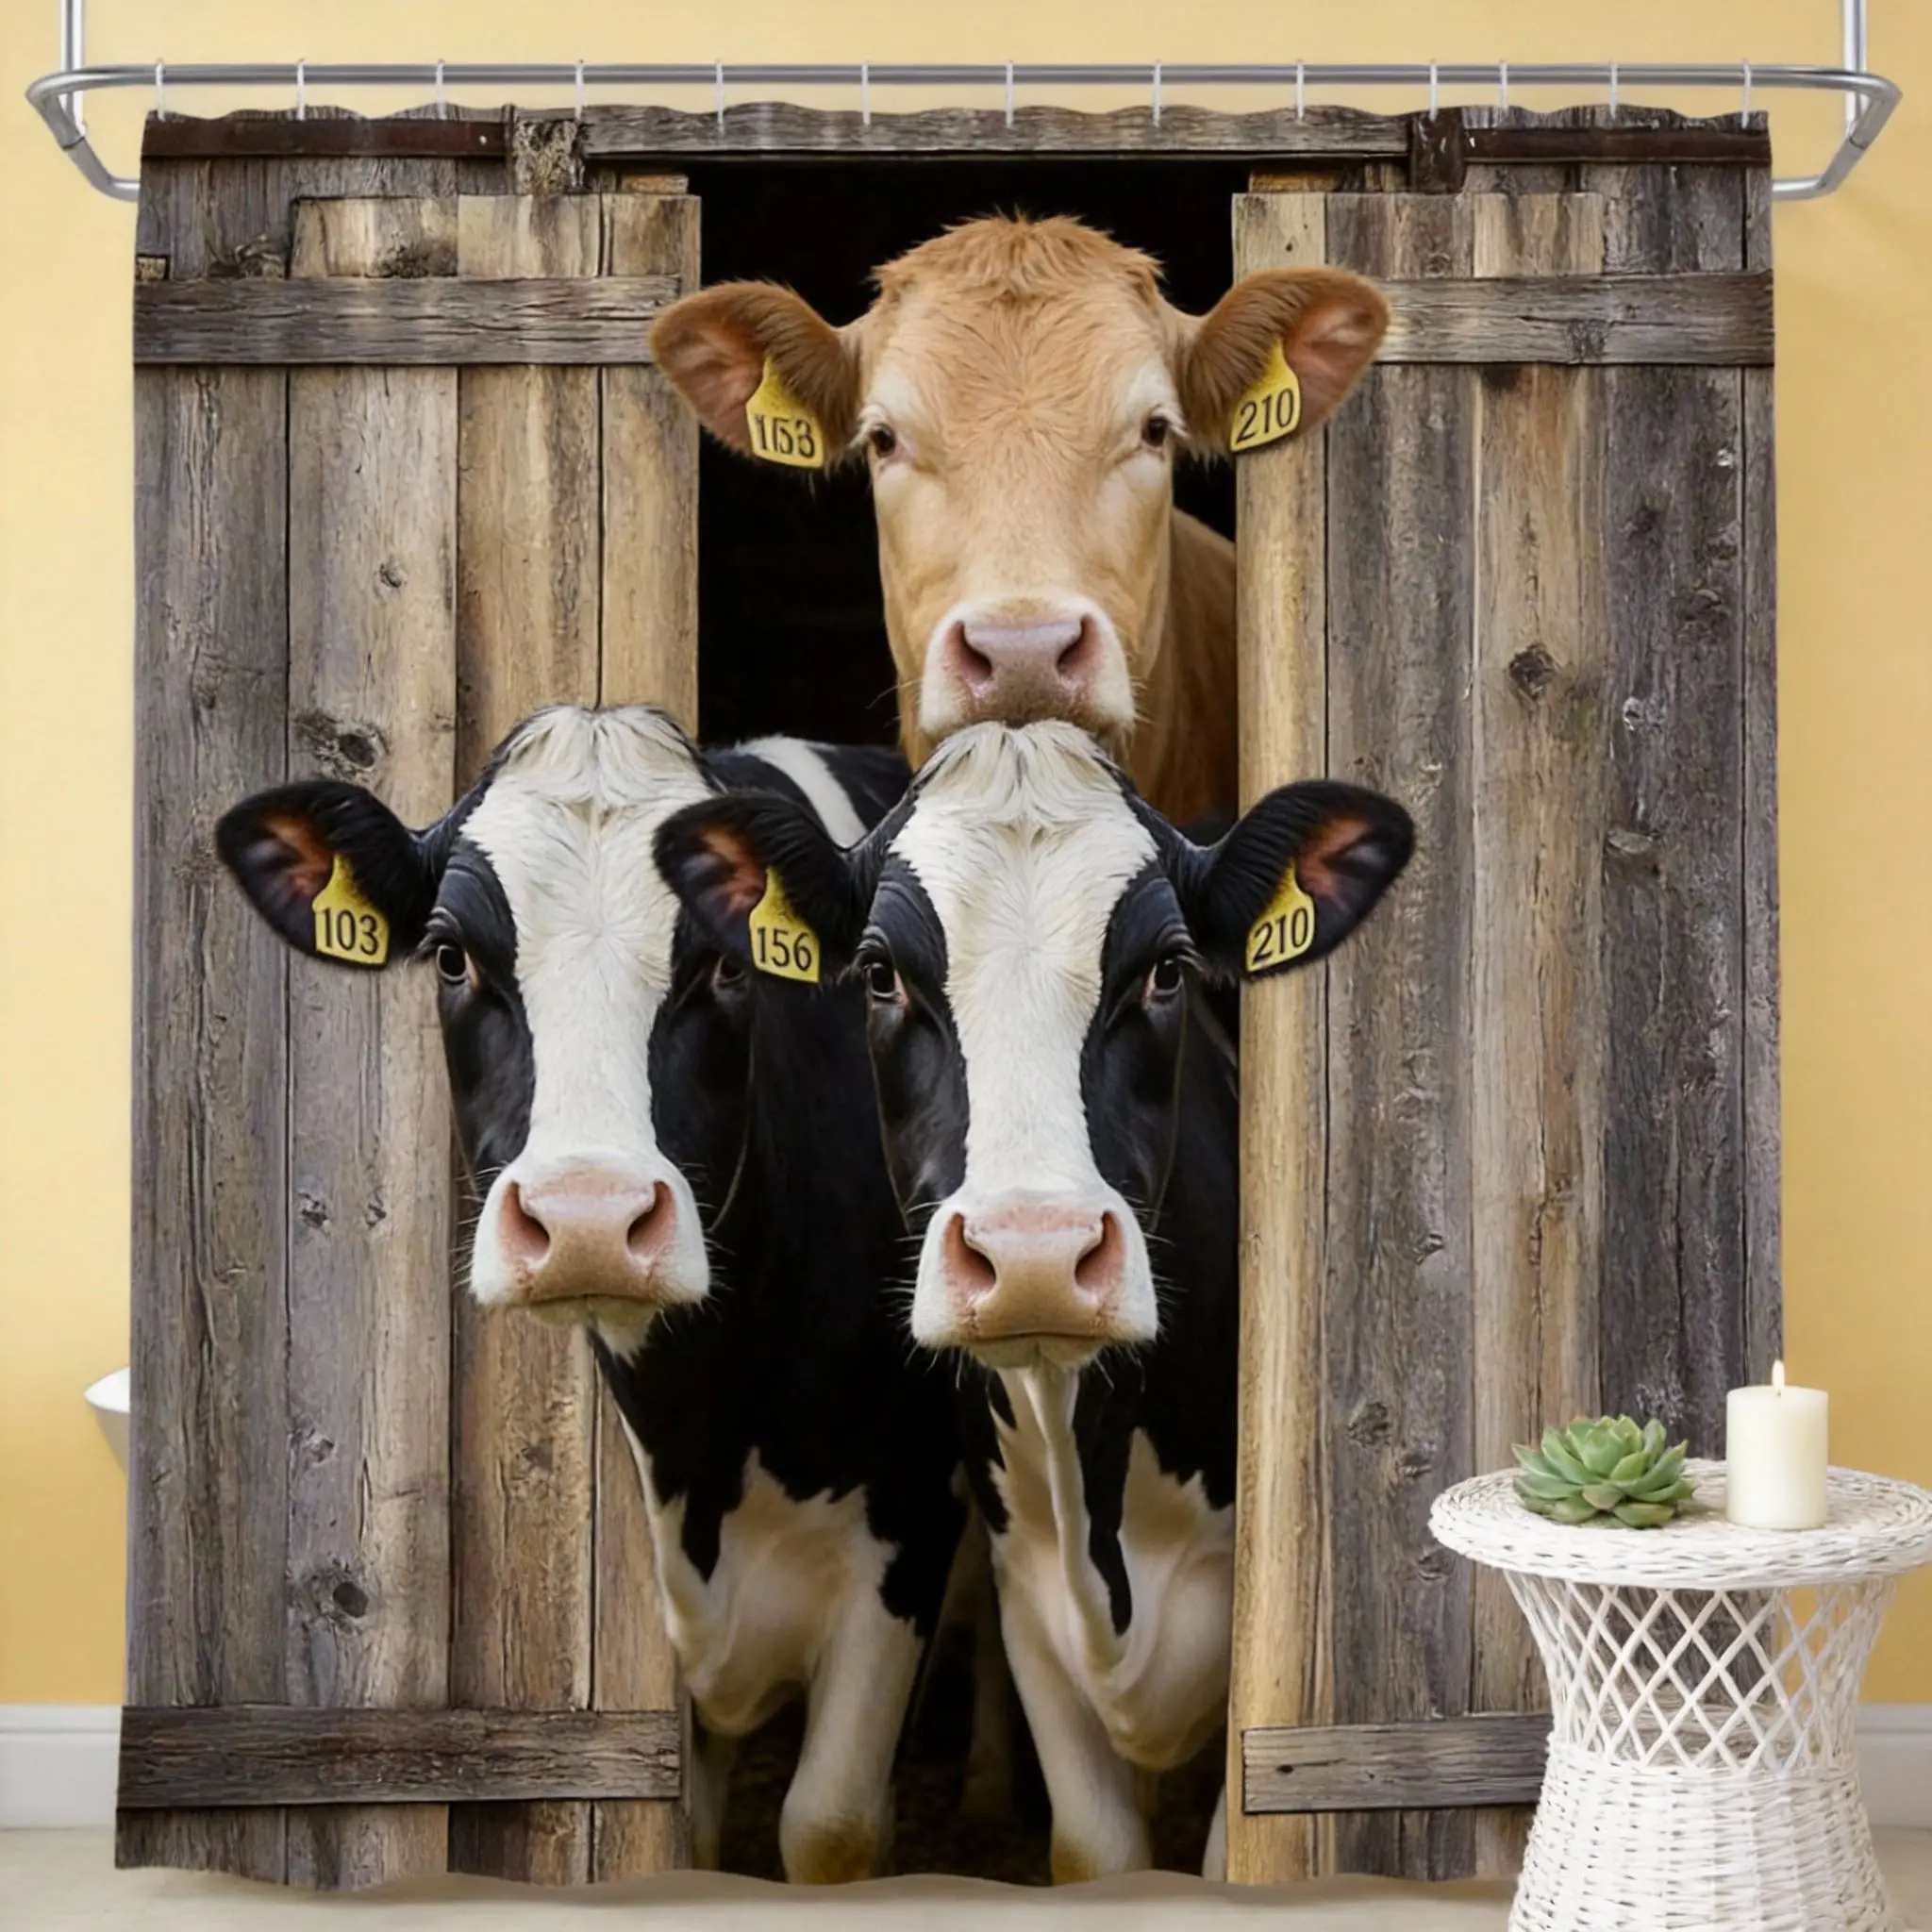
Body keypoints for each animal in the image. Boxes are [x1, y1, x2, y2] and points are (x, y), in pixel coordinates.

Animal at [215, 706, 965, 1883]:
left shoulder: (912, 1517)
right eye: (451, 955)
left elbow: (830, 1821)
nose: (585, 1219)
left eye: (725, 963)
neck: (717, 1429)